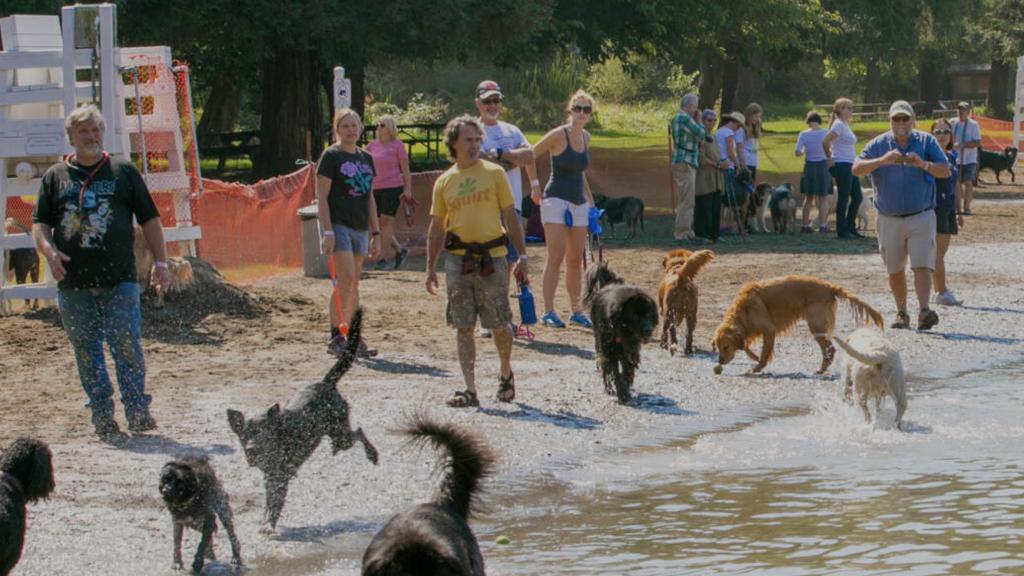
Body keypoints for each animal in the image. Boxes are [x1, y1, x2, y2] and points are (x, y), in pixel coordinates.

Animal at [226, 305, 378, 528]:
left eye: (263, 433)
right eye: (244, 435)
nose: (251, 449)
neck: (278, 438)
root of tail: (325, 383)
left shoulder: (279, 476)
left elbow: (275, 504)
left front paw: (269, 525)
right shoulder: (270, 476)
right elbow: (269, 503)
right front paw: (265, 521)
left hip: (341, 434)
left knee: (358, 432)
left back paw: (372, 454)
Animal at [585, 261, 655, 401]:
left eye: (649, 313)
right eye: (635, 316)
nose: (648, 330)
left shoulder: (631, 351)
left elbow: (628, 370)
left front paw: (626, 385)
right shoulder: (609, 350)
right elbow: (615, 371)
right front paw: (622, 392)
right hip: (599, 342)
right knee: (604, 367)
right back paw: (609, 388)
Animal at [712, 272, 888, 373]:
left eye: (726, 347)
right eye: (717, 347)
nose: (719, 361)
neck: (744, 309)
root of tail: (829, 287)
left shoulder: (769, 329)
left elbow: (764, 352)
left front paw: (757, 366)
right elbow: (747, 346)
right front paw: (754, 357)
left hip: (815, 325)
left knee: (829, 348)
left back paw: (821, 369)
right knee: (829, 349)